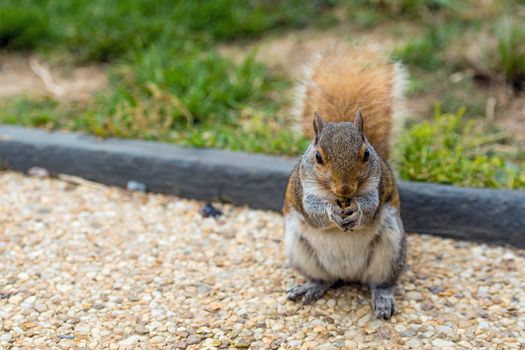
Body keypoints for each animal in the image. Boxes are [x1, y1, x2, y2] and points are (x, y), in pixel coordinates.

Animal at [282, 45, 406, 320]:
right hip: (301, 249)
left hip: (390, 248)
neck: (340, 198)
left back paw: (382, 298)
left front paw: (357, 212)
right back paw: (311, 287)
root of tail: (349, 273)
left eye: (367, 154)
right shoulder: (303, 190)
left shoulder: (377, 186)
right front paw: (332, 213)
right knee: (325, 279)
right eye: (318, 157)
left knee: (381, 281)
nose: (345, 189)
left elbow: (370, 208)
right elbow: (314, 212)